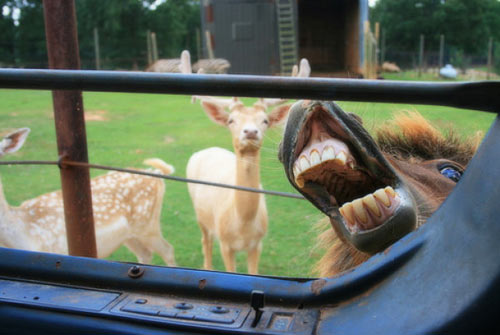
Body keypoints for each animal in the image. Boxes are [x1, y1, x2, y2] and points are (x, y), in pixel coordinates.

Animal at [182, 51, 310, 274]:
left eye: (265, 120)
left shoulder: (257, 244)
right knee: (205, 241)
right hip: (200, 215)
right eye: (231, 120)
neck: (242, 224)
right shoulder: (225, 244)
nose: (250, 132)